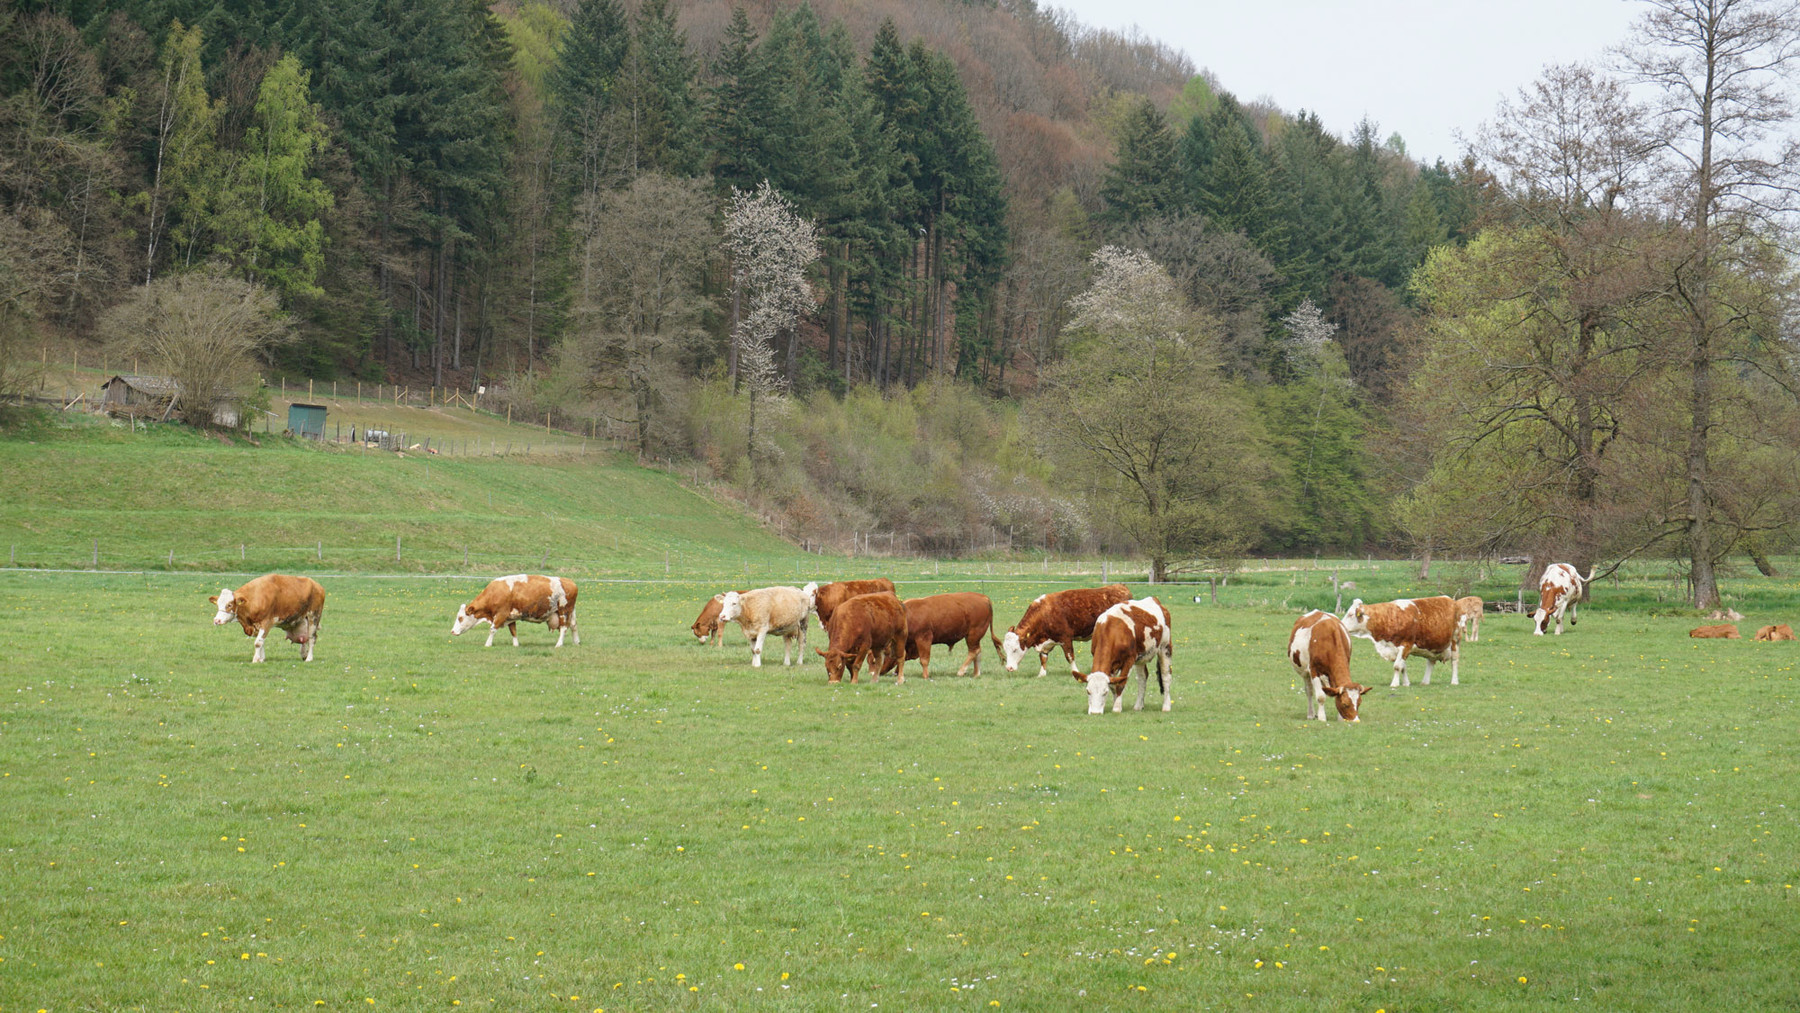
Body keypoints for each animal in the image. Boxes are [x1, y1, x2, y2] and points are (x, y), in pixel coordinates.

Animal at [993, 582, 1130, 676]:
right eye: (1005, 649)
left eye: (1015, 649)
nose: (1009, 668)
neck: (1044, 613)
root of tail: (1120, 586)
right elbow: (1043, 658)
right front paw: (1041, 674)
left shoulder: (1066, 639)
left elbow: (1070, 657)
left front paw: (1075, 672)